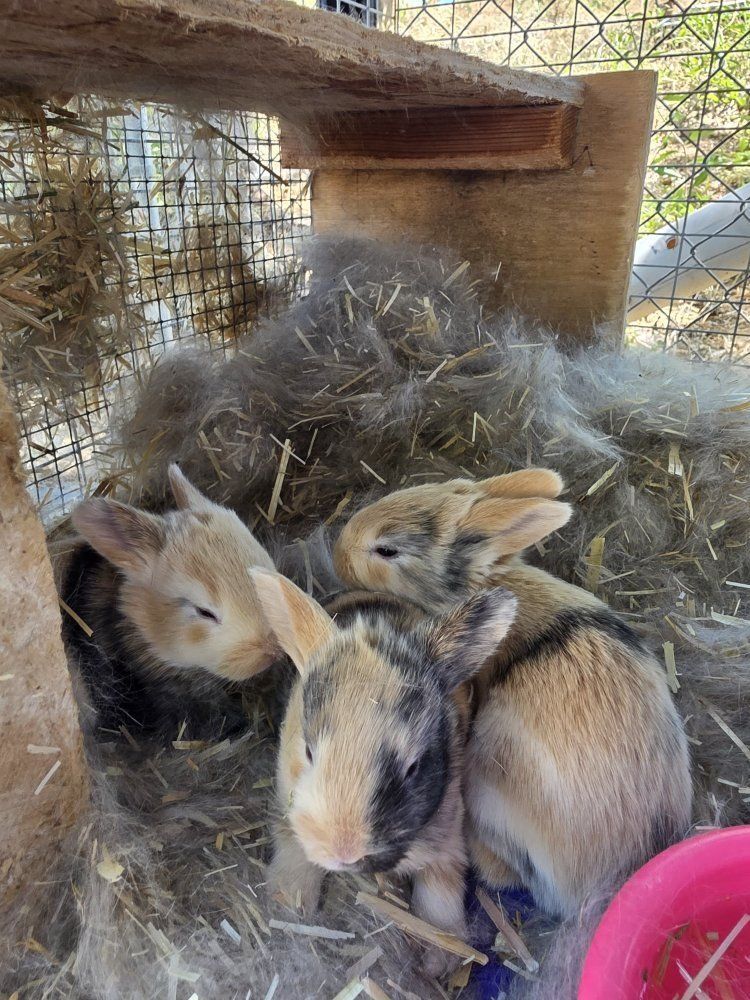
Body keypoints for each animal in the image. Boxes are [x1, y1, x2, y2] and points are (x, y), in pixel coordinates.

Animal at [249, 567, 517, 973]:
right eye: (308, 751)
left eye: (412, 767)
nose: (344, 851)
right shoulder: (287, 812)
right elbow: (295, 856)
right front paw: (289, 907)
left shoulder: (448, 841)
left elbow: (440, 892)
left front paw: (440, 958)